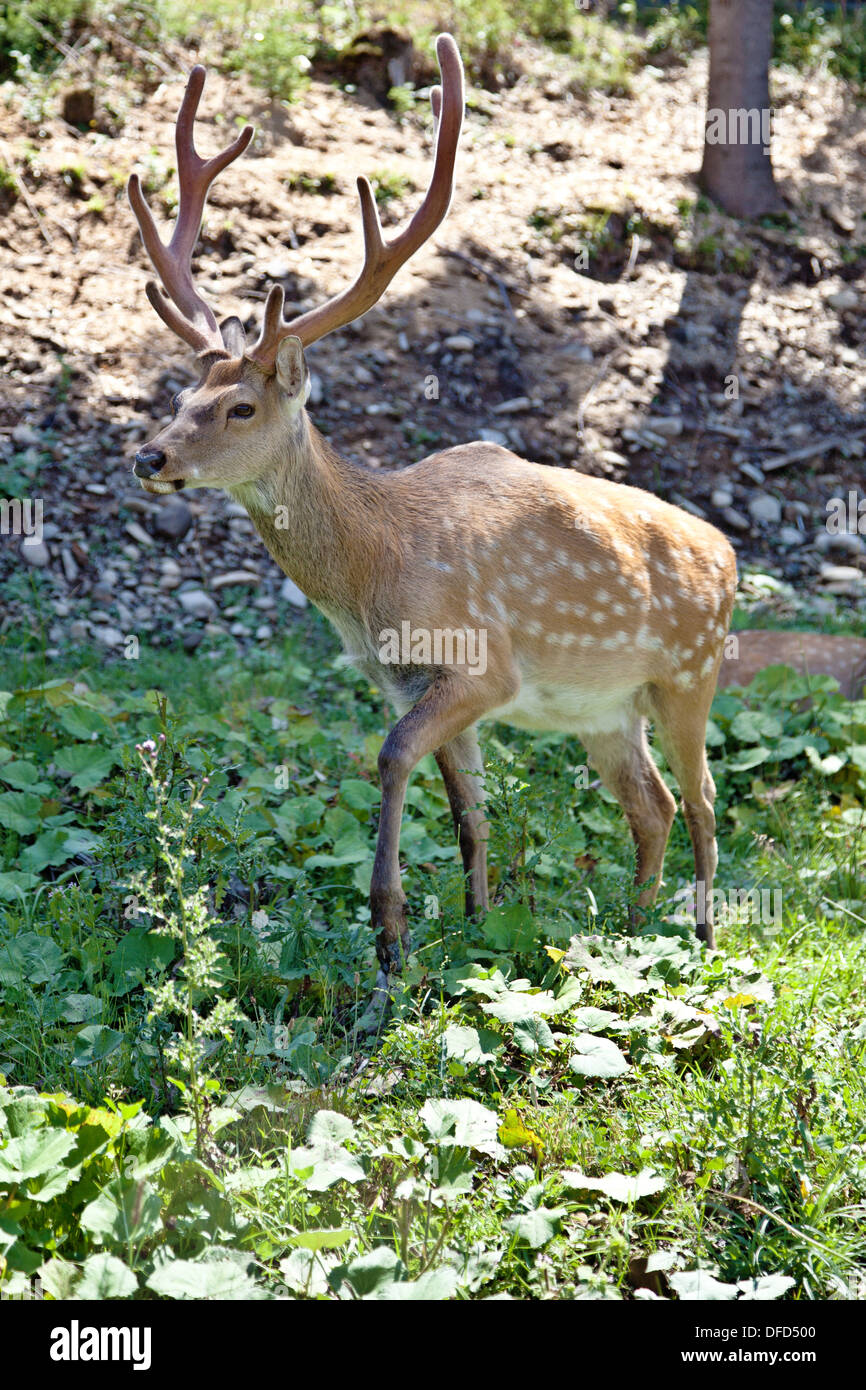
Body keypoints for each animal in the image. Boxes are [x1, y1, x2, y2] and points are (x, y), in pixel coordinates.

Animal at [127, 38, 739, 989]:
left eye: (240, 409)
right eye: (182, 395)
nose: (150, 456)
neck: (373, 573)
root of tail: (731, 555)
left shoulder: (481, 666)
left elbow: (388, 758)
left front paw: (391, 935)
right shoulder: (416, 683)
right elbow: (469, 814)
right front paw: (476, 928)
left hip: (690, 671)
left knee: (706, 798)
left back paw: (702, 938)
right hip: (605, 709)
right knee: (655, 803)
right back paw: (634, 930)